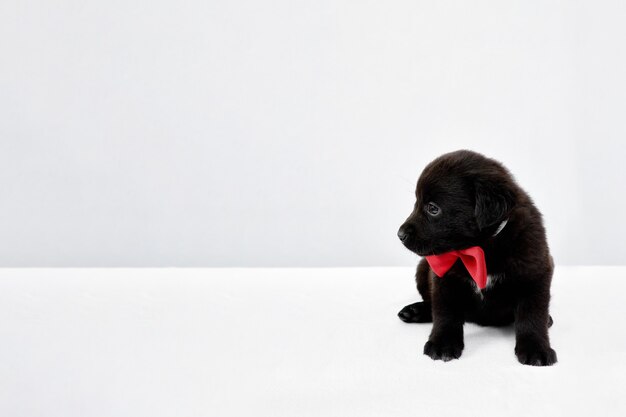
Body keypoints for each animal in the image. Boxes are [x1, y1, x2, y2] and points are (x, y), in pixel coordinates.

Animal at [398, 150, 552, 364]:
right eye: (416, 203)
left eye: (433, 208)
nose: (400, 234)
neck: (480, 249)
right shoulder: (445, 279)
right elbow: (445, 313)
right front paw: (442, 343)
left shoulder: (535, 273)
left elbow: (532, 315)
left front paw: (535, 348)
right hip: (422, 268)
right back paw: (415, 311)